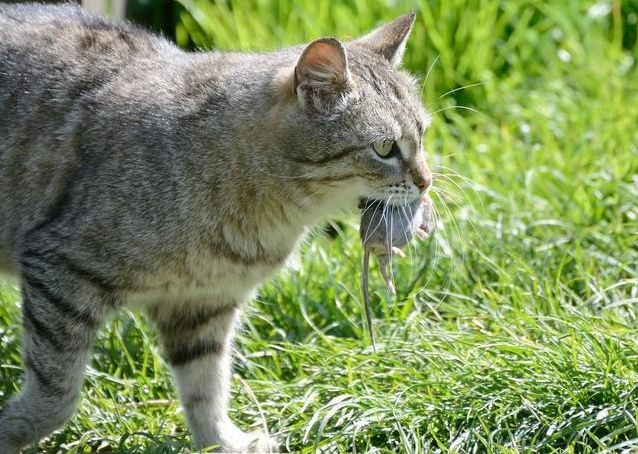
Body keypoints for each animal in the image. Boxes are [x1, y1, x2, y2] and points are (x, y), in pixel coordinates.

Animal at [0, 4, 432, 454]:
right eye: (384, 148)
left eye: (422, 134)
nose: (427, 181)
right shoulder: (61, 269)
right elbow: (56, 395)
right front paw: (12, 429)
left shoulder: (204, 303)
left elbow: (206, 386)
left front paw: (220, 441)